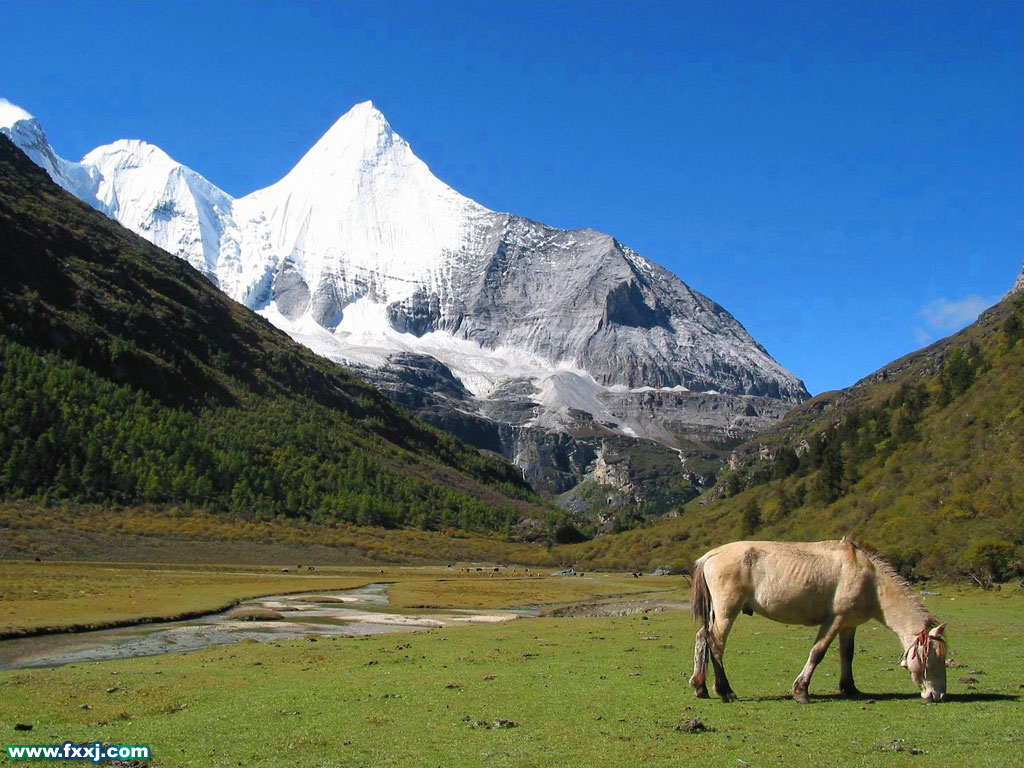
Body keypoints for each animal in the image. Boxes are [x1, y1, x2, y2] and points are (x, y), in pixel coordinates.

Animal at [684, 540, 946, 704]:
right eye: (932, 657)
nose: (939, 695)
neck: (871, 581)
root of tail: (710, 555)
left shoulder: (848, 624)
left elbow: (847, 655)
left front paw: (850, 688)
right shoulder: (834, 620)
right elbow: (817, 652)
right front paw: (801, 691)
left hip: (716, 612)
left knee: (702, 637)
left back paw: (700, 686)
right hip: (727, 611)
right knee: (716, 644)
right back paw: (725, 691)